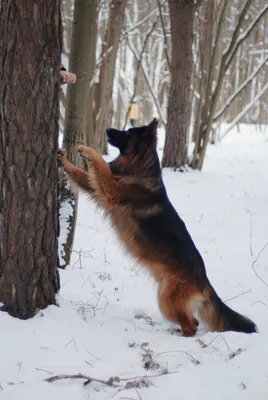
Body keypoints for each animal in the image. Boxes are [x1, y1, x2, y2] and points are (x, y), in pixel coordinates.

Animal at [57, 119, 256, 338]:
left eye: (128, 133)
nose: (108, 129)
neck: (139, 167)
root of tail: (205, 281)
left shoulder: (111, 190)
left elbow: (100, 164)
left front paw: (87, 150)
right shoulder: (98, 189)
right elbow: (79, 172)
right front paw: (63, 160)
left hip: (166, 299)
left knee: (191, 326)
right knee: (193, 321)